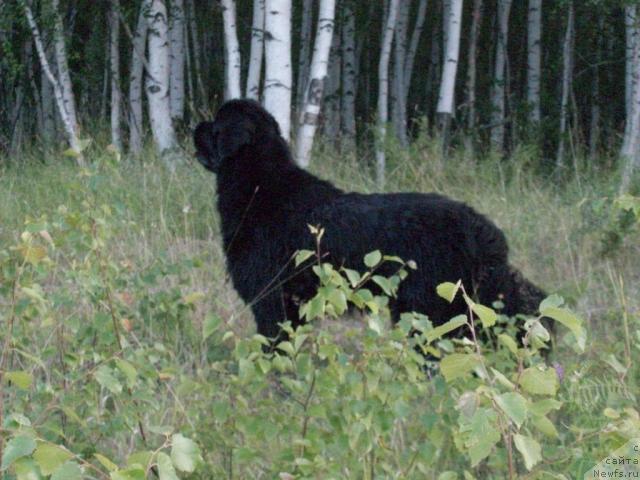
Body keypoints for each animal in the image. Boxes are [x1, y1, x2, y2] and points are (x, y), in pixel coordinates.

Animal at [195, 99, 544, 344]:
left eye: (215, 125)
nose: (196, 126)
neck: (262, 185)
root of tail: (481, 229)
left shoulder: (272, 299)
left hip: (426, 305)